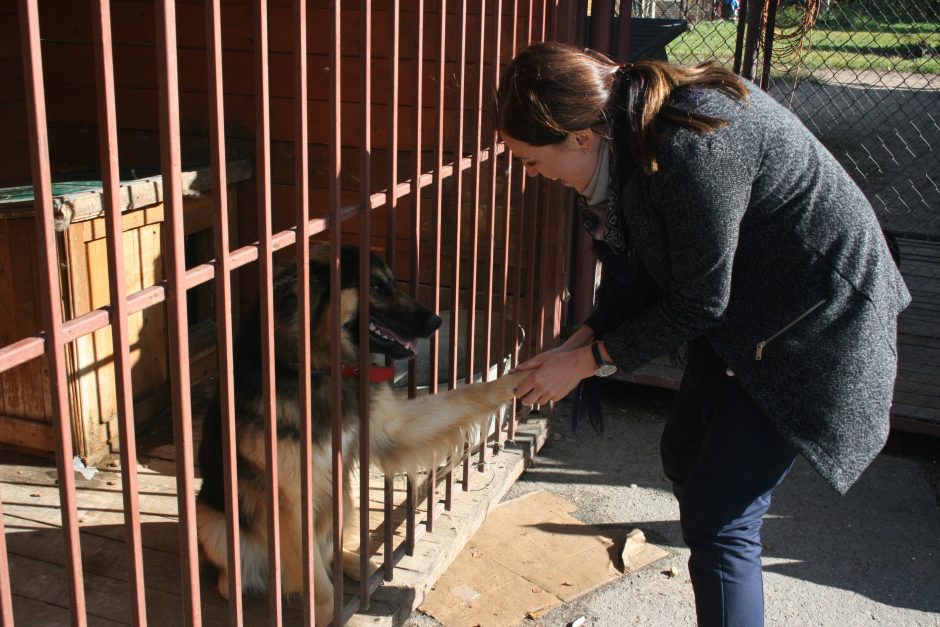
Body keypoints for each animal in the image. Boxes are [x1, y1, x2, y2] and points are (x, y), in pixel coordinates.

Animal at [197, 244, 524, 624]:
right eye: (377, 286)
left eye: (390, 282)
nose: (436, 322)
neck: (317, 369)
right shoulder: (291, 497)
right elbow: (319, 586)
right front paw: (326, 615)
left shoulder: (390, 431)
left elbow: (465, 396)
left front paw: (512, 381)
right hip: (212, 520)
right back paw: (234, 585)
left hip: (342, 497)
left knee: (330, 550)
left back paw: (356, 564)